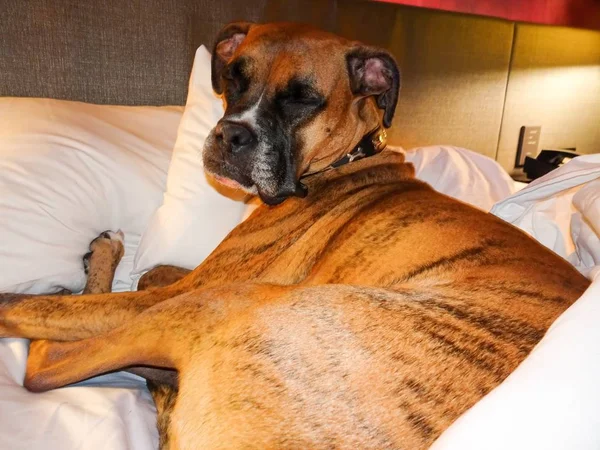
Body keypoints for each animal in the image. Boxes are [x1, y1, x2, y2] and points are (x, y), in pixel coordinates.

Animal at [0, 21, 592, 450]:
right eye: (233, 77)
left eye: (303, 98)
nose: (230, 136)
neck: (345, 162)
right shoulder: (200, 274)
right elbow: (152, 272)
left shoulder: (188, 292)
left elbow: (63, 310)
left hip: (225, 304)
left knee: (43, 364)